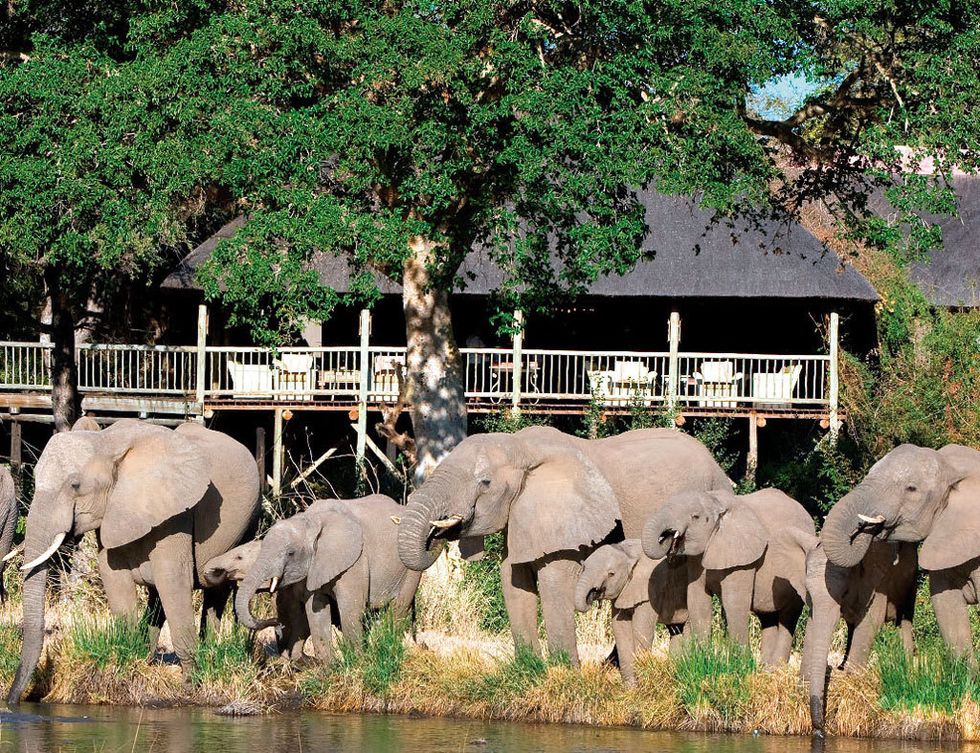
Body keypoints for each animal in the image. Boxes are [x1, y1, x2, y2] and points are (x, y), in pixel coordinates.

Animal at [7, 420, 260, 704]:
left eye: (75, 485)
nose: (14, 700)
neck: (108, 442)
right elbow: (115, 581)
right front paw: (129, 663)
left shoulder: (175, 514)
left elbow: (174, 582)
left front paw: (190, 686)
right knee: (159, 597)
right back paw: (150, 657)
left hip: (249, 520)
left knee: (216, 591)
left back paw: (212, 651)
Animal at [239, 496, 424, 660]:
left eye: (290, 553)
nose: (275, 621)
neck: (310, 520)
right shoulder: (314, 569)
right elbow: (316, 610)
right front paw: (328, 667)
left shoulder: (355, 562)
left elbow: (350, 608)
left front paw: (357, 663)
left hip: (411, 569)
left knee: (399, 607)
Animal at [396, 426, 728, 668]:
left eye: (485, 482)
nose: (420, 643)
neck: (521, 447)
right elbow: (513, 581)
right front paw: (529, 669)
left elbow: (553, 583)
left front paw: (564, 671)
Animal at [572, 536, 684, 684]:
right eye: (584, 568)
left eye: (611, 574)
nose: (593, 593)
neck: (628, 553)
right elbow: (620, 630)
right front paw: (631, 687)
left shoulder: (650, 588)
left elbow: (641, 629)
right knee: (677, 631)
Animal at [644, 484, 812, 660]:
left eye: (695, 517)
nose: (669, 535)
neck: (716, 503)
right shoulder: (697, 560)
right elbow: (697, 600)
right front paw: (702, 657)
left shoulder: (743, 557)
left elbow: (733, 601)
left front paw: (742, 662)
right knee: (768, 617)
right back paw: (765, 665)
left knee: (789, 616)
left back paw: (775, 665)